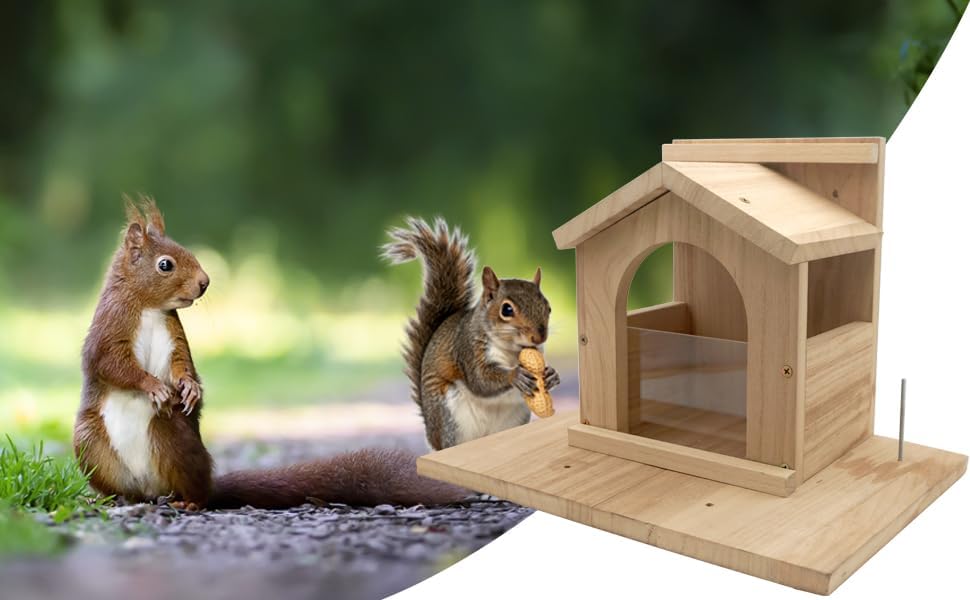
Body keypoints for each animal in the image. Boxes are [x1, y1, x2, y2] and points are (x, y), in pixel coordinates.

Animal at [73, 197, 465, 509]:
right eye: (165, 264)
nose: (204, 283)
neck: (149, 308)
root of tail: (153, 489)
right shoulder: (109, 330)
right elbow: (112, 365)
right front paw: (153, 385)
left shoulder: (174, 335)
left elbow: (182, 364)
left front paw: (190, 388)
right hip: (90, 443)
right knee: (125, 487)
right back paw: (115, 498)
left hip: (171, 437)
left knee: (194, 489)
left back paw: (189, 501)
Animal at [382, 217, 559, 450]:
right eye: (507, 310)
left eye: (548, 307)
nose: (539, 337)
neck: (511, 350)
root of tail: (433, 437)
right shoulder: (467, 348)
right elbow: (480, 380)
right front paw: (515, 375)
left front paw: (551, 375)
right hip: (451, 419)